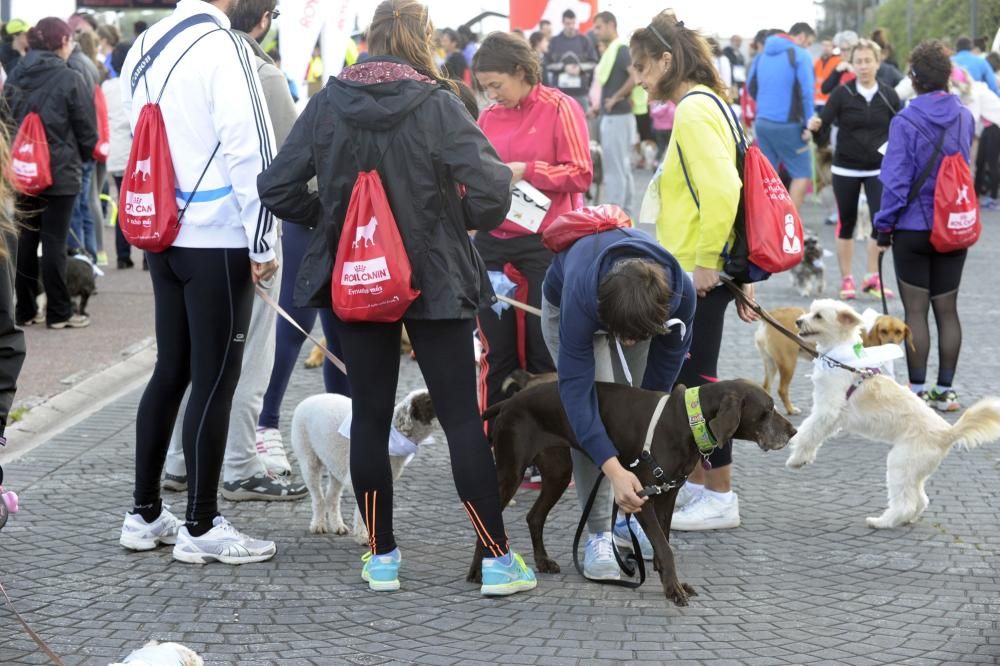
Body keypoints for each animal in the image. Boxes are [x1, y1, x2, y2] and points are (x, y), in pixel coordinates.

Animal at [286, 390, 434, 540]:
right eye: (429, 401)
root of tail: (308, 399)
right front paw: (363, 536)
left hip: (335, 464)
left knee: (332, 498)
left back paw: (337, 526)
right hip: (309, 461)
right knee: (318, 498)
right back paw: (318, 525)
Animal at [784, 298, 1000, 528]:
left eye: (818, 316)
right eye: (810, 311)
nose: (798, 321)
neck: (842, 359)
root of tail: (947, 433)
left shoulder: (827, 411)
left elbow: (808, 432)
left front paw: (796, 458)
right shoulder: (831, 418)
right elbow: (814, 435)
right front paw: (803, 458)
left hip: (900, 464)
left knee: (905, 502)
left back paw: (882, 521)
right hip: (914, 472)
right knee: (920, 500)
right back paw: (905, 519)